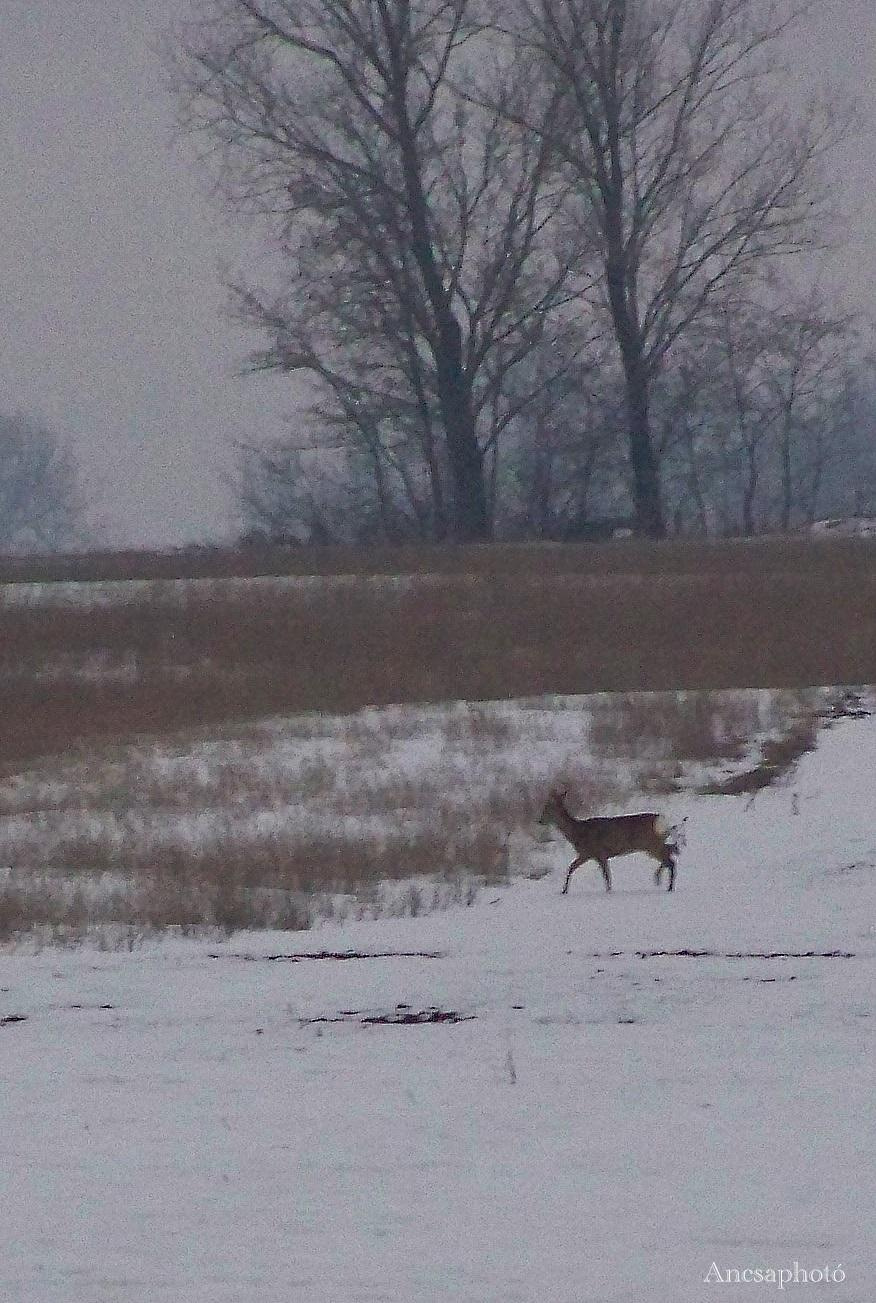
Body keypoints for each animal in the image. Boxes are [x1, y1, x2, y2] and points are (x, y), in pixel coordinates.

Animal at [537, 781, 683, 896]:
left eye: (547, 808)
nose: (540, 820)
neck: (577, 832)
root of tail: (660, 820)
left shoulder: (594, 853)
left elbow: (603, 875)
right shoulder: (592, 855)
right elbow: (578, 868)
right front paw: (564, 890)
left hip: (651, 844)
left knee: (670, 860)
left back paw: (667, 886)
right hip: (655, 843)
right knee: (671, 854)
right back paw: (659, 879)